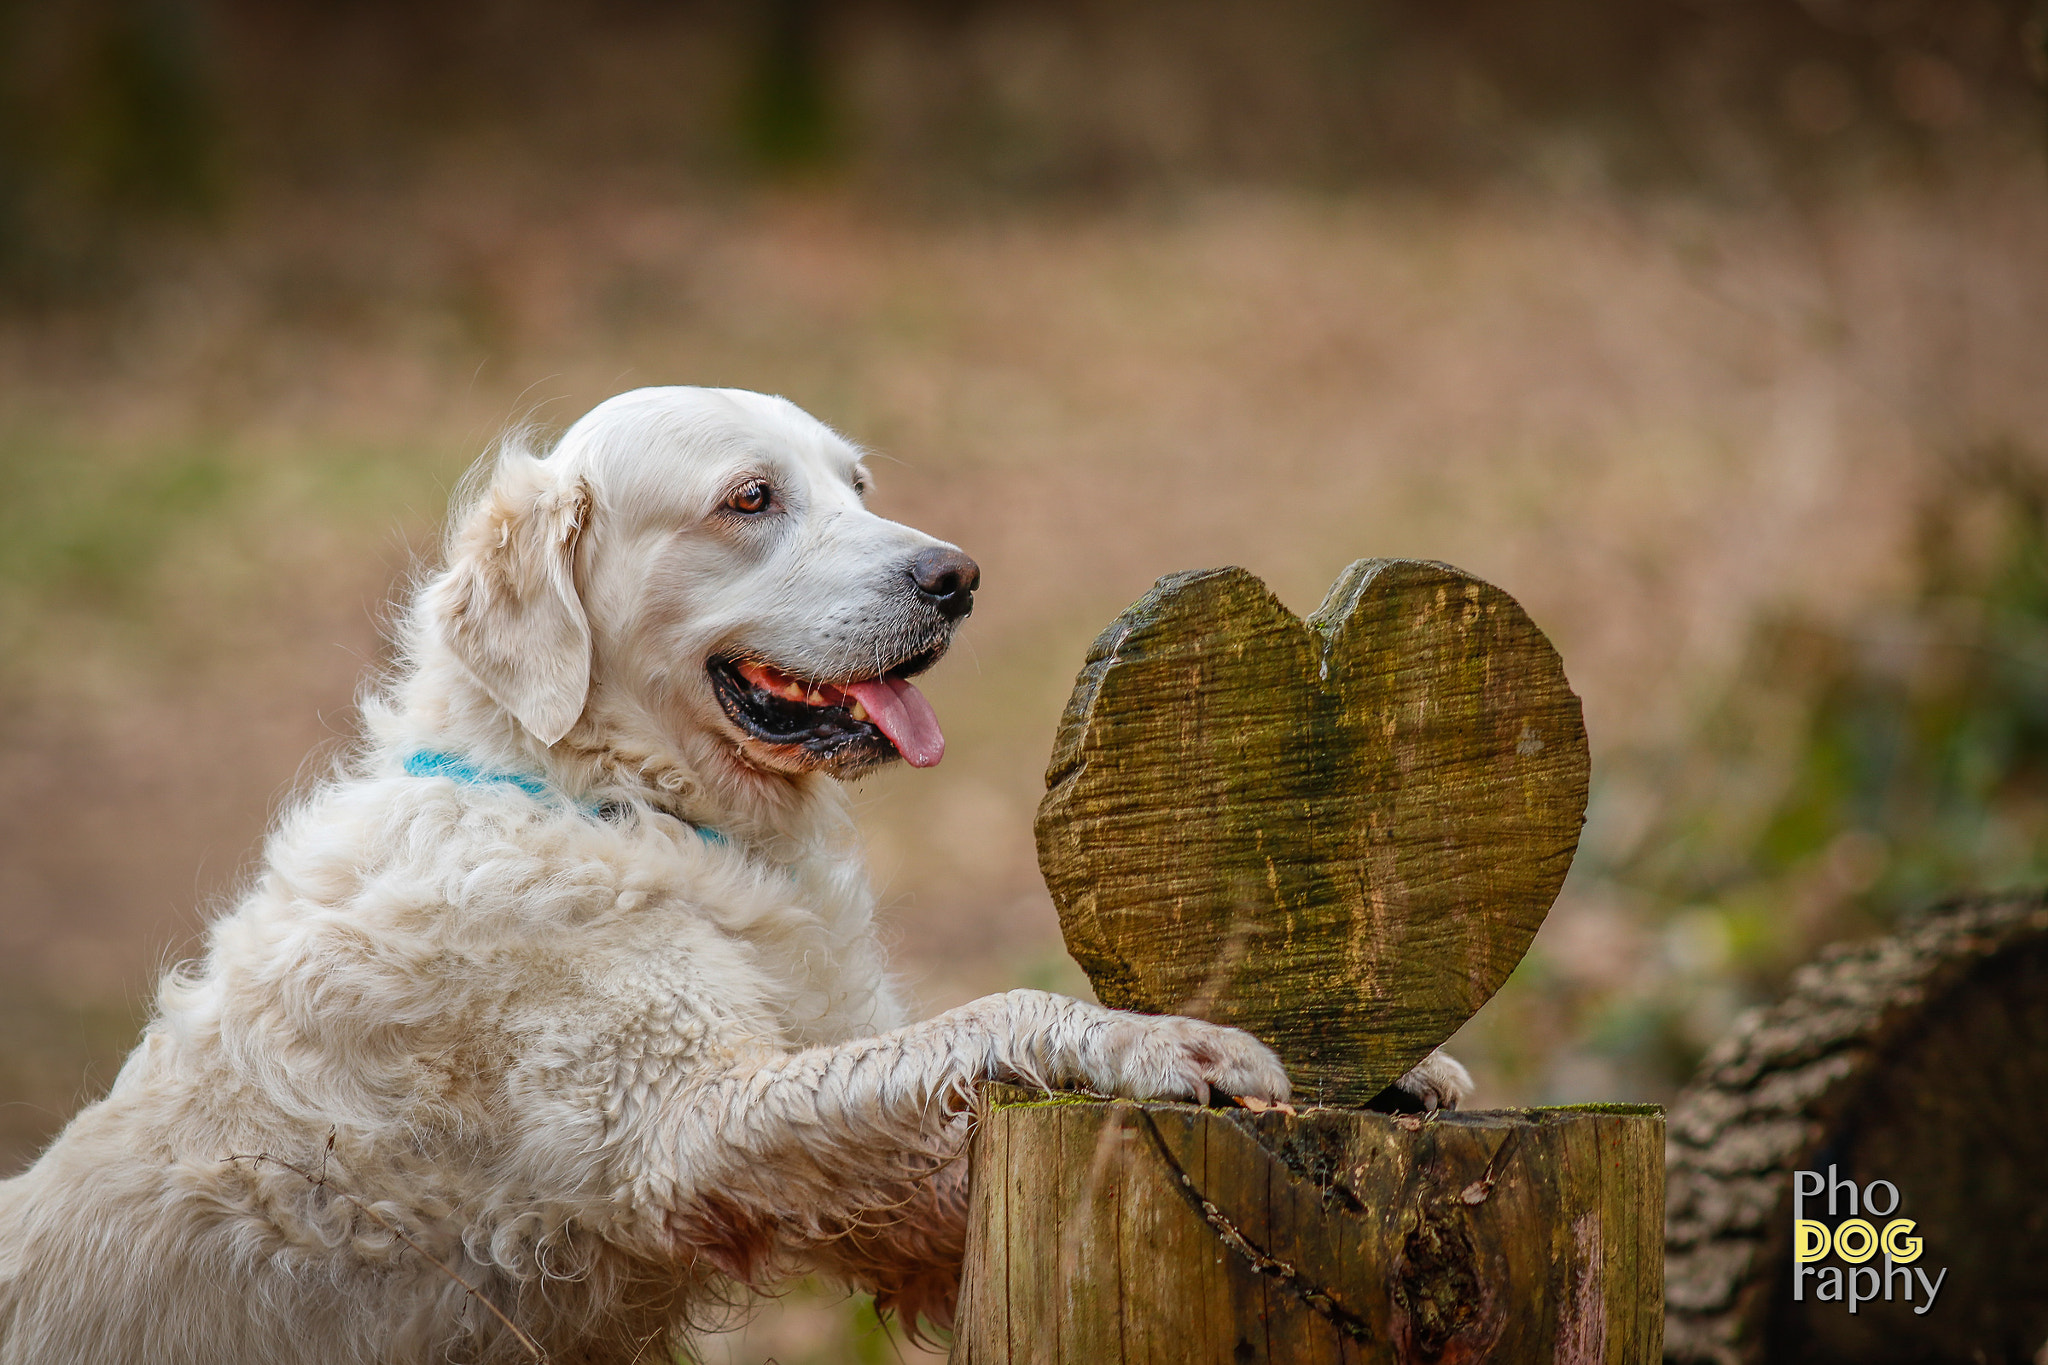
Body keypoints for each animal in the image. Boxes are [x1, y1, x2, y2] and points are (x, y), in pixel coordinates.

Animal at [0, 386, 1466, 1365]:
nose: (957, 576)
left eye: (857, 486)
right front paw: (1162, 1040)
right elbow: (986, 1019)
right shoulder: (677, 1129)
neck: (627, 806)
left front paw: (1407, 1071)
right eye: (749, 499)